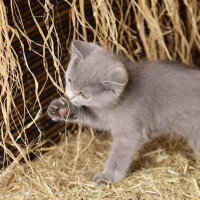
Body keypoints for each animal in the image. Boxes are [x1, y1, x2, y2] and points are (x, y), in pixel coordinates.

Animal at [48, 39, 200, 184]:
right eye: (69, 80)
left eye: (84, 95)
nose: (71, 95)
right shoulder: (103, 116)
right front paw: (60, 109)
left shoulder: (129, 131)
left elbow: (118, 157)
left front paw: (108, 177)